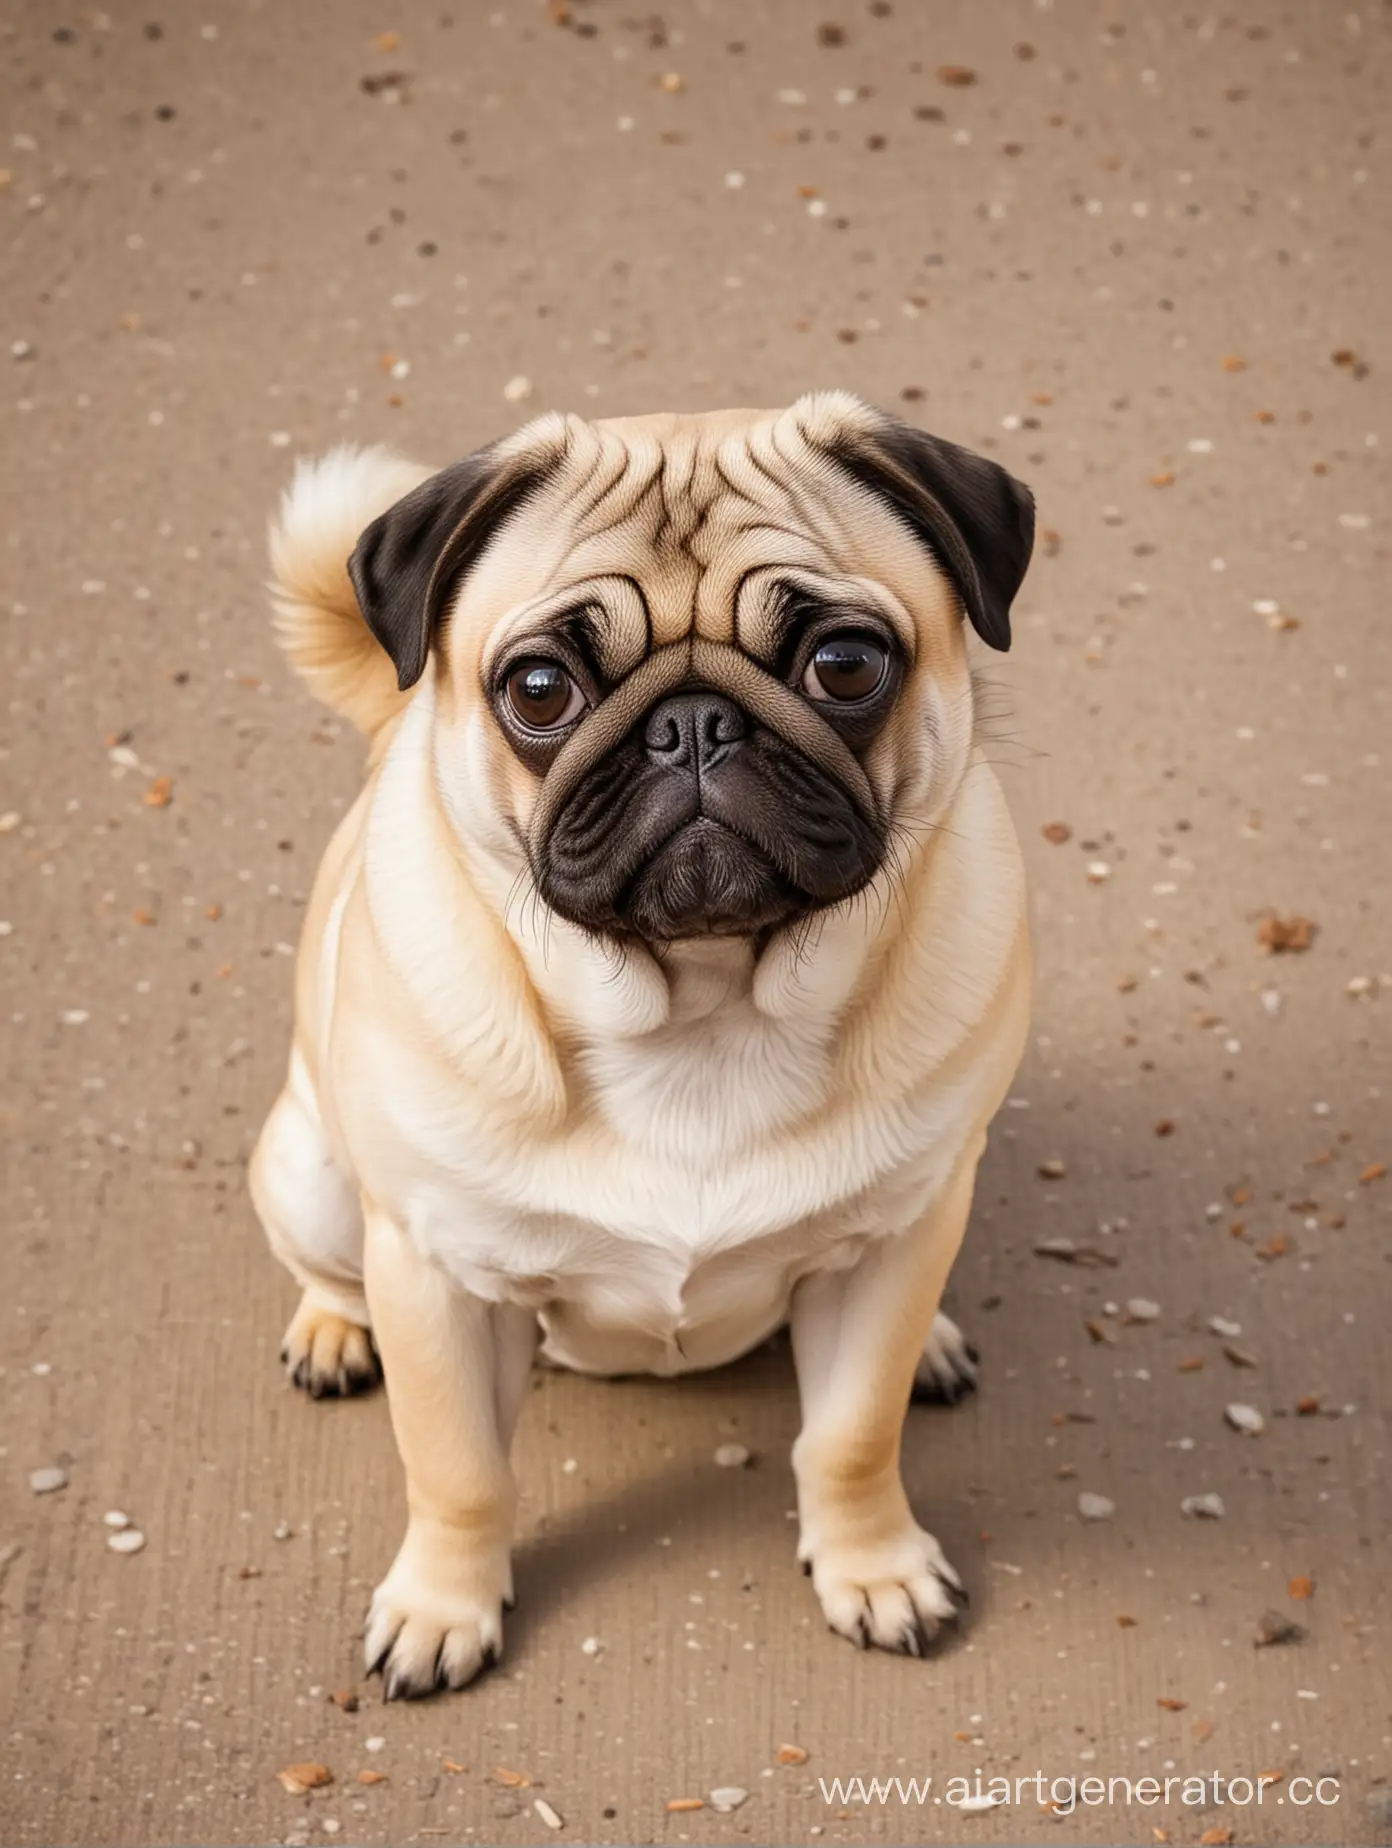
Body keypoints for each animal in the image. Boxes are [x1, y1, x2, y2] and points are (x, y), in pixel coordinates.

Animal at [253, 393, 1035, 1700]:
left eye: (845, 665)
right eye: (538, 690)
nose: (694, 726)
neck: (703, 1013)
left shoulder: (893, 1248)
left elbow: (851, 1436)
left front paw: (874, 1568)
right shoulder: (433, 1272)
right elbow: (458, 1471)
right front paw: (442, 1608)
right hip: (313, 1180)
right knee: (330, 1263)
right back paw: (332, 1330)